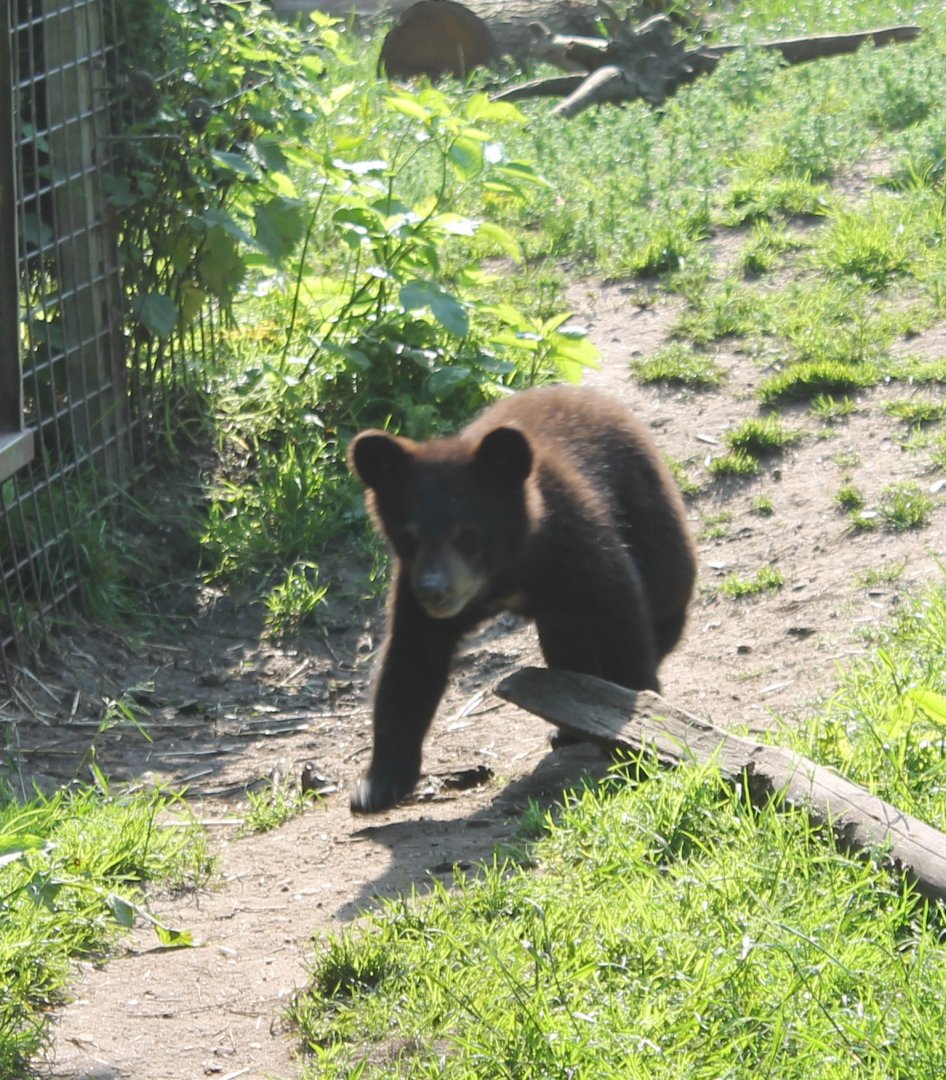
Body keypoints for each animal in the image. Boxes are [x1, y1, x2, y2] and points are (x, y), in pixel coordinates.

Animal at [347, 384, 697, 813]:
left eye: (467, 533)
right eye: (409, 536)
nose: (435, 590)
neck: (507, 571)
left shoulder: (576, 544)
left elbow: (619, 618)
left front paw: (639, 730)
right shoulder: (411, 592)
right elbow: (409, 664)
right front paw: (375, 787)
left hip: (649, 515)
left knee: (667, 590)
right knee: (568, 646)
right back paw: (567, 726)